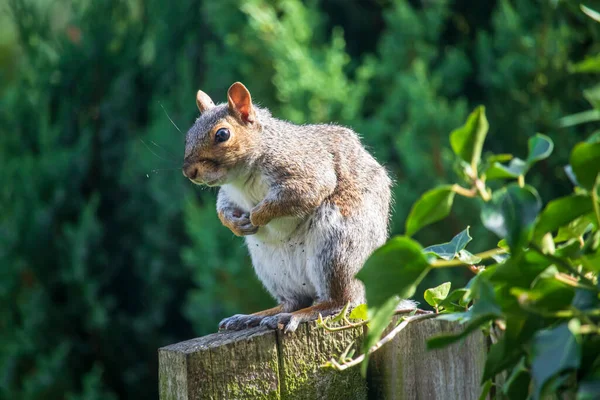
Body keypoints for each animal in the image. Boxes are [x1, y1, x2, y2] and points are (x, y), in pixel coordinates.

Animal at [182, 83, 412, 332]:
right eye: (188, 135)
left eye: (222, 134)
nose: (188, 171)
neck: (242, 179)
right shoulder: (228, 193)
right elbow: (222, 208)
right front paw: (235, 224)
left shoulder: (306, 170)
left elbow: (301, 194)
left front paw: (257, 216)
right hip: (272, 268)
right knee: (293, 301)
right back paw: (254, 316)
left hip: (337, 249)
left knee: (341, 301)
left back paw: (297, 316)